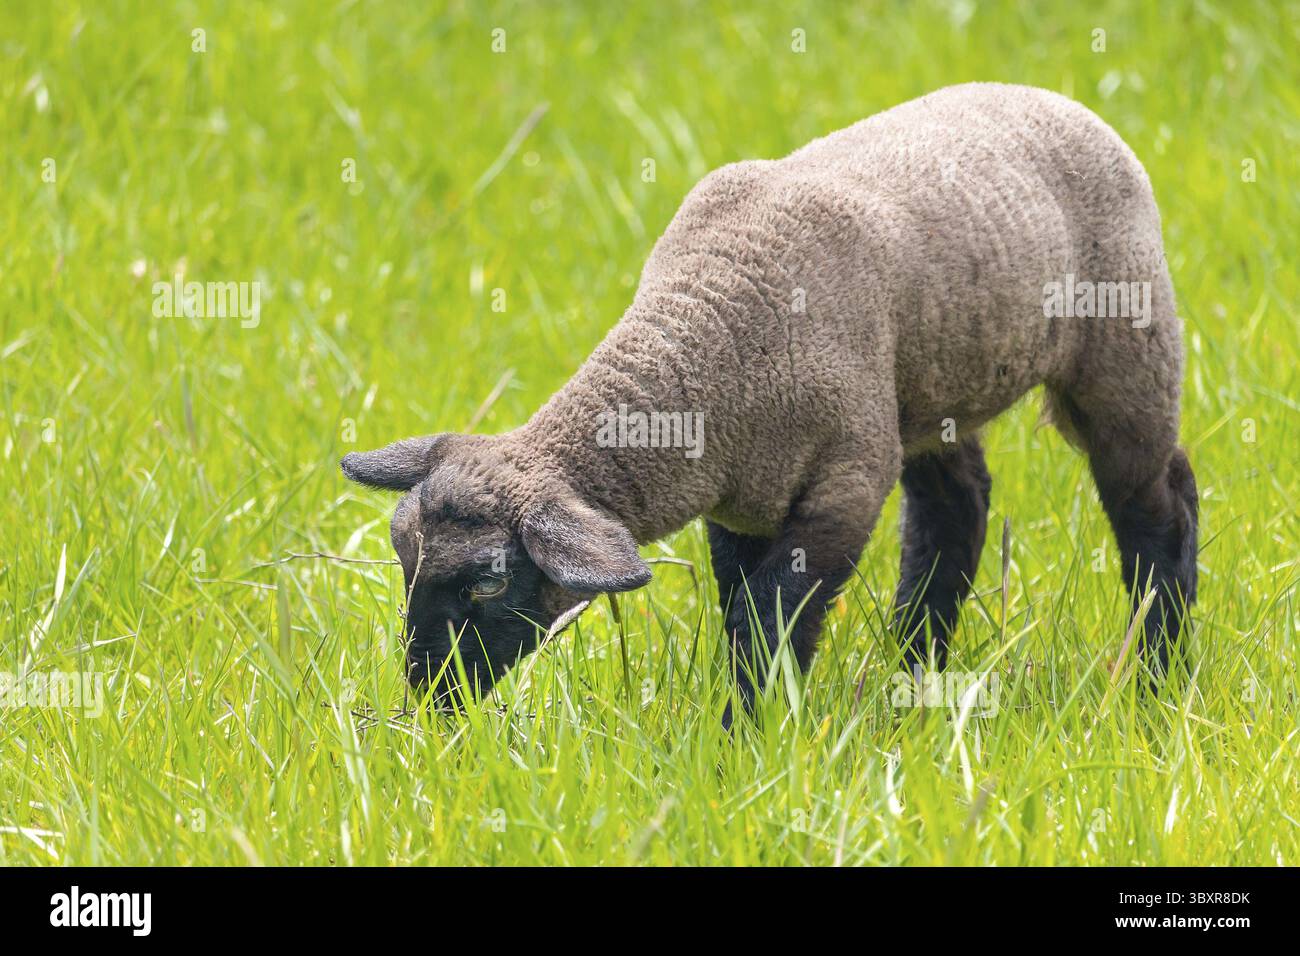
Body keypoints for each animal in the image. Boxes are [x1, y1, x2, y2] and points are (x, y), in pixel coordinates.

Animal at [341, 82, 1198, 723]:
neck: (707, 343)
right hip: (927, 389)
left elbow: (770, 619)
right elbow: (738, 615)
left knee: (1157, 502)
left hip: (1125, 343)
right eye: (403, 563)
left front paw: (743, 737)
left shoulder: (843, 484)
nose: (430, 699)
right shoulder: (745, 502)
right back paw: (916, 676)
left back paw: (1160, 675)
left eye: (488, 583)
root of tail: (1056, 99)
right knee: (957, 510)